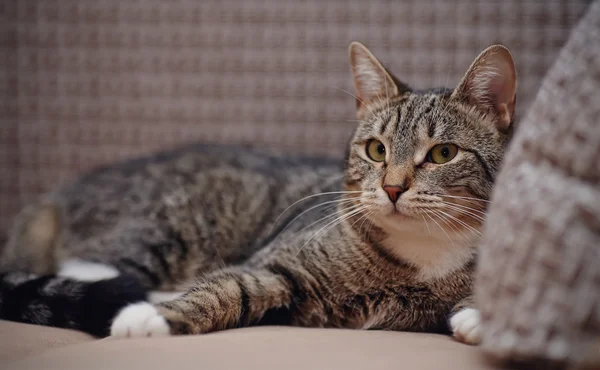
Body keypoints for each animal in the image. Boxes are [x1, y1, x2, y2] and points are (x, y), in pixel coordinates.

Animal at [0, 42, 516, 346]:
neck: (421, 254)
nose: (391, 187)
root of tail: (55, 197)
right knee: (93, 269)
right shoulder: (279, 264)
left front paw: (484, 316)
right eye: (376, 149)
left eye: (443, 153)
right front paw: (149, 317)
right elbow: (229, 285)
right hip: (165, 227)